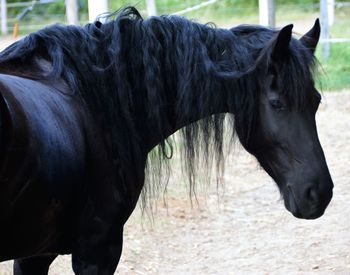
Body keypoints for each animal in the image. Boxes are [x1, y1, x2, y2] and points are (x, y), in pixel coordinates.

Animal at [0, 8, 334, 275]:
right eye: (277, 103)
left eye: (316, 101)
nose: (319, 193)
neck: (94, 98)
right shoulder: (97, 250)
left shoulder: (35, 255)